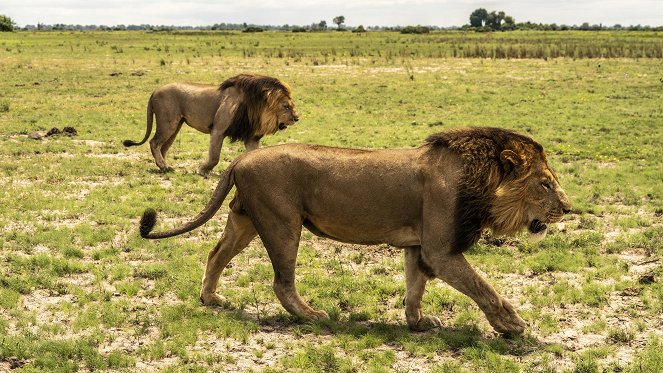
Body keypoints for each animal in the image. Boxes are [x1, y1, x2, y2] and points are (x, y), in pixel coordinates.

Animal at [123, 75, 300, 177]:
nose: (297, 118)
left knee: (163, 147)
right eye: (286, 106)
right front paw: (202, 170)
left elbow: (254, 154)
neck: (256, 108)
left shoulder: (251, 138)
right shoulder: (218, 129)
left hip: (175, 125)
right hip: (168, 123)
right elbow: (214, 156)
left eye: (292, 105)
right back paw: (164, 167)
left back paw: (164, 167)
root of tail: (155, 90)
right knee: (154, 143)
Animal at [139, 126, 572, 332]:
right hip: (283, 223)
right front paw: (513, 326)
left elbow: (415, 286)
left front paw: (417, 323)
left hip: (244, 220)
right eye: (546, 183)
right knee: (281, 282)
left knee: (215, 254)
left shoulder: (419, 247)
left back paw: (211, 298)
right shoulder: (441, 250)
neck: (482, 180)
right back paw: (312, 315)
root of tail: (239, 161)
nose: (568, 208)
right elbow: (485, 288)